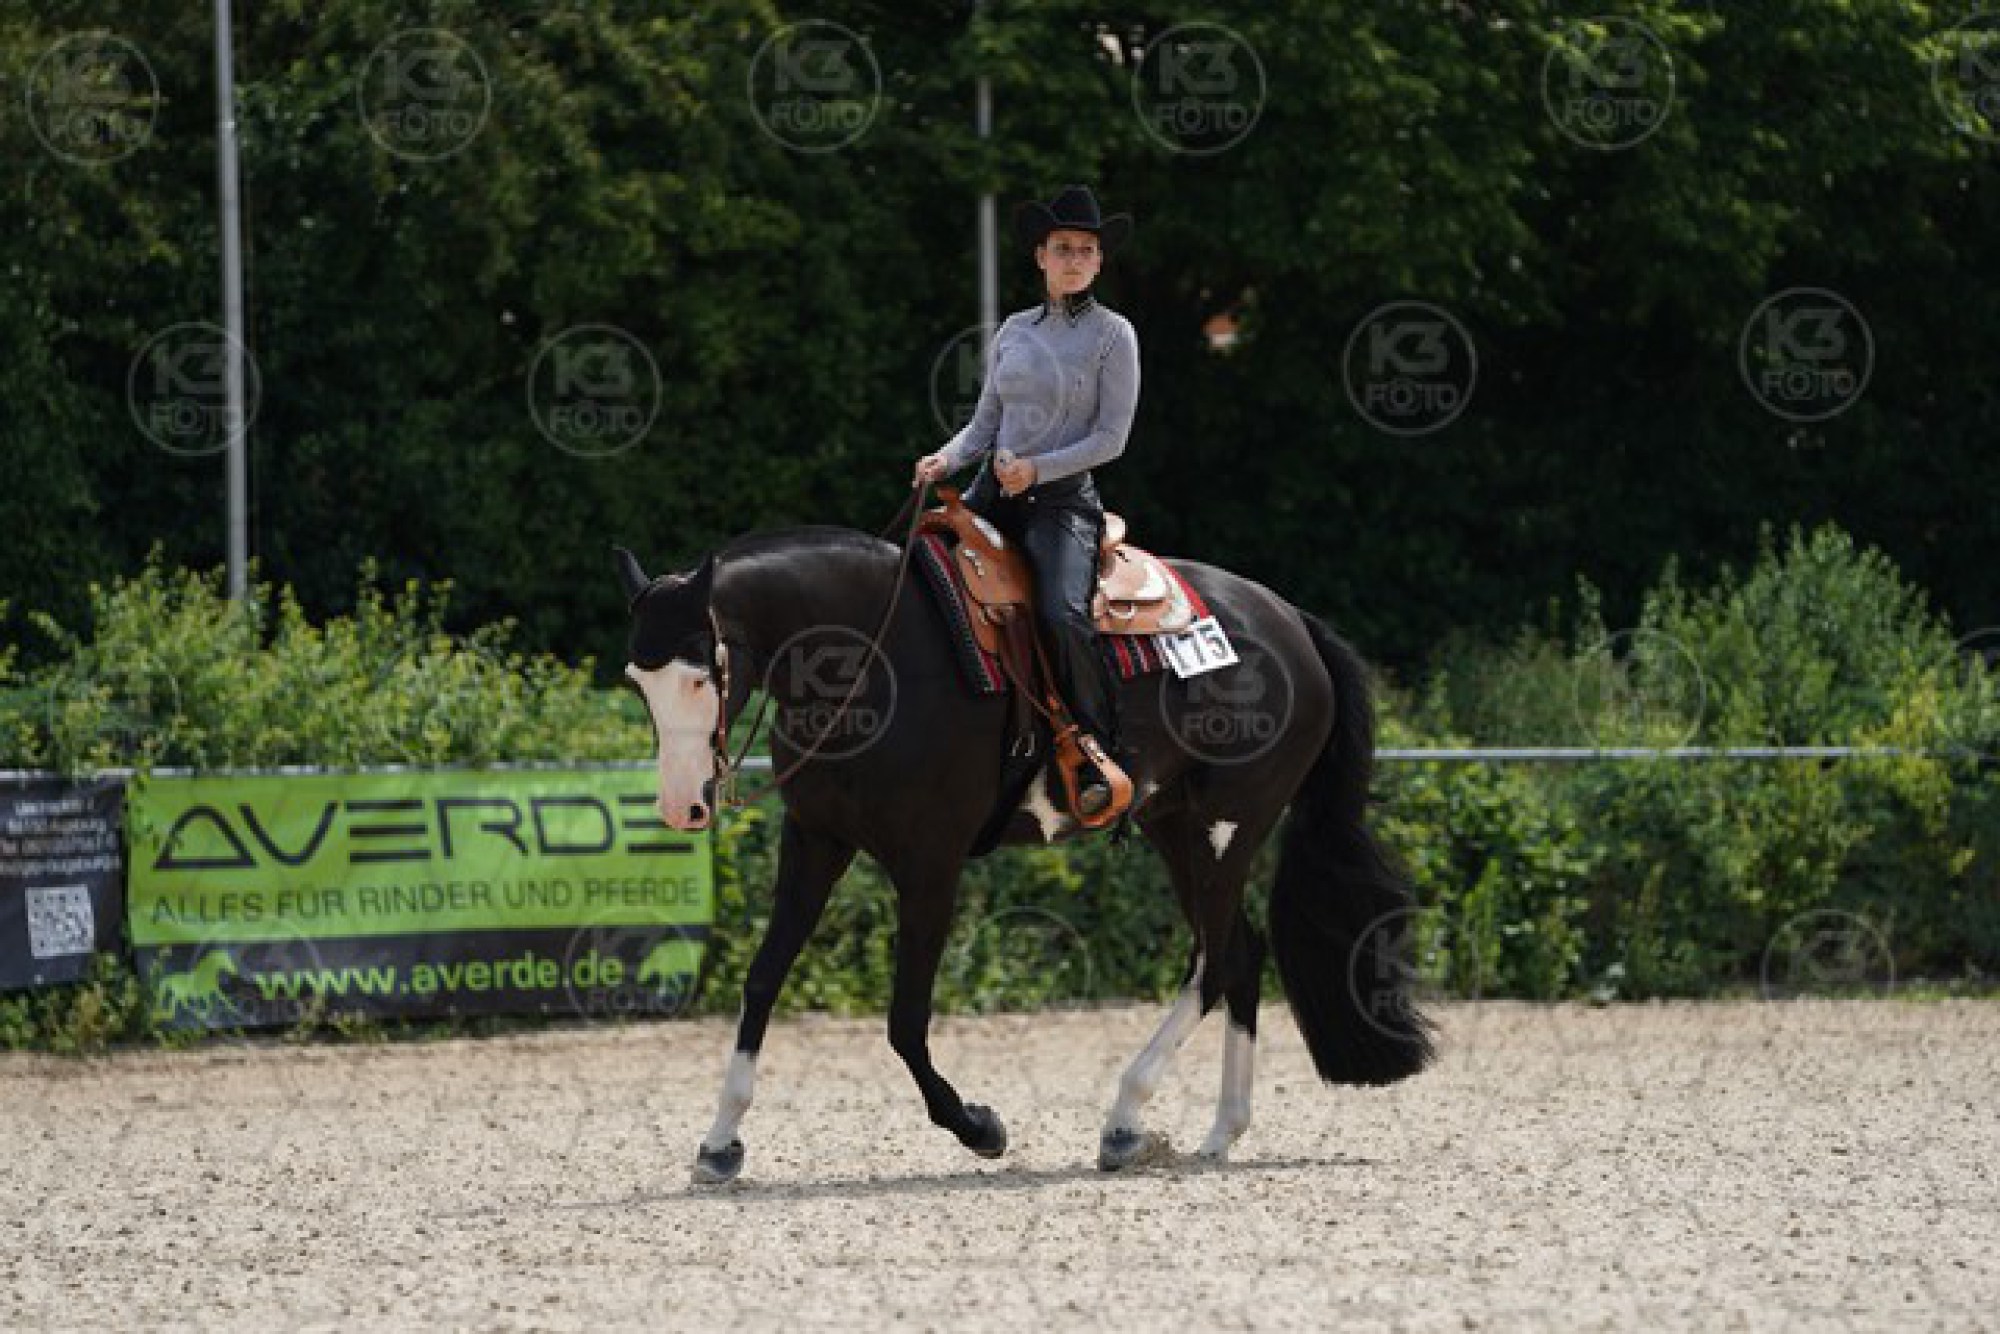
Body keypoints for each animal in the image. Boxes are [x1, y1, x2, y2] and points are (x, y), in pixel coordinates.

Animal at [614, 519, 1432, 1183]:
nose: (682, 807)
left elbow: (904, 1019)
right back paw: (1217, 1134)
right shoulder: (816, 839)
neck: (874, 660)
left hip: (1228, 825)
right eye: (638, 683)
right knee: (1240, 953)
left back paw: (1125, 1122)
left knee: (1213, 962)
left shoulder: (930, 863)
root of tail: (1292, 620)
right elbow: (762, 981)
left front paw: (978, 1127)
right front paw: (720, 1142)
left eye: (699, 674)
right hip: (1175, 825)